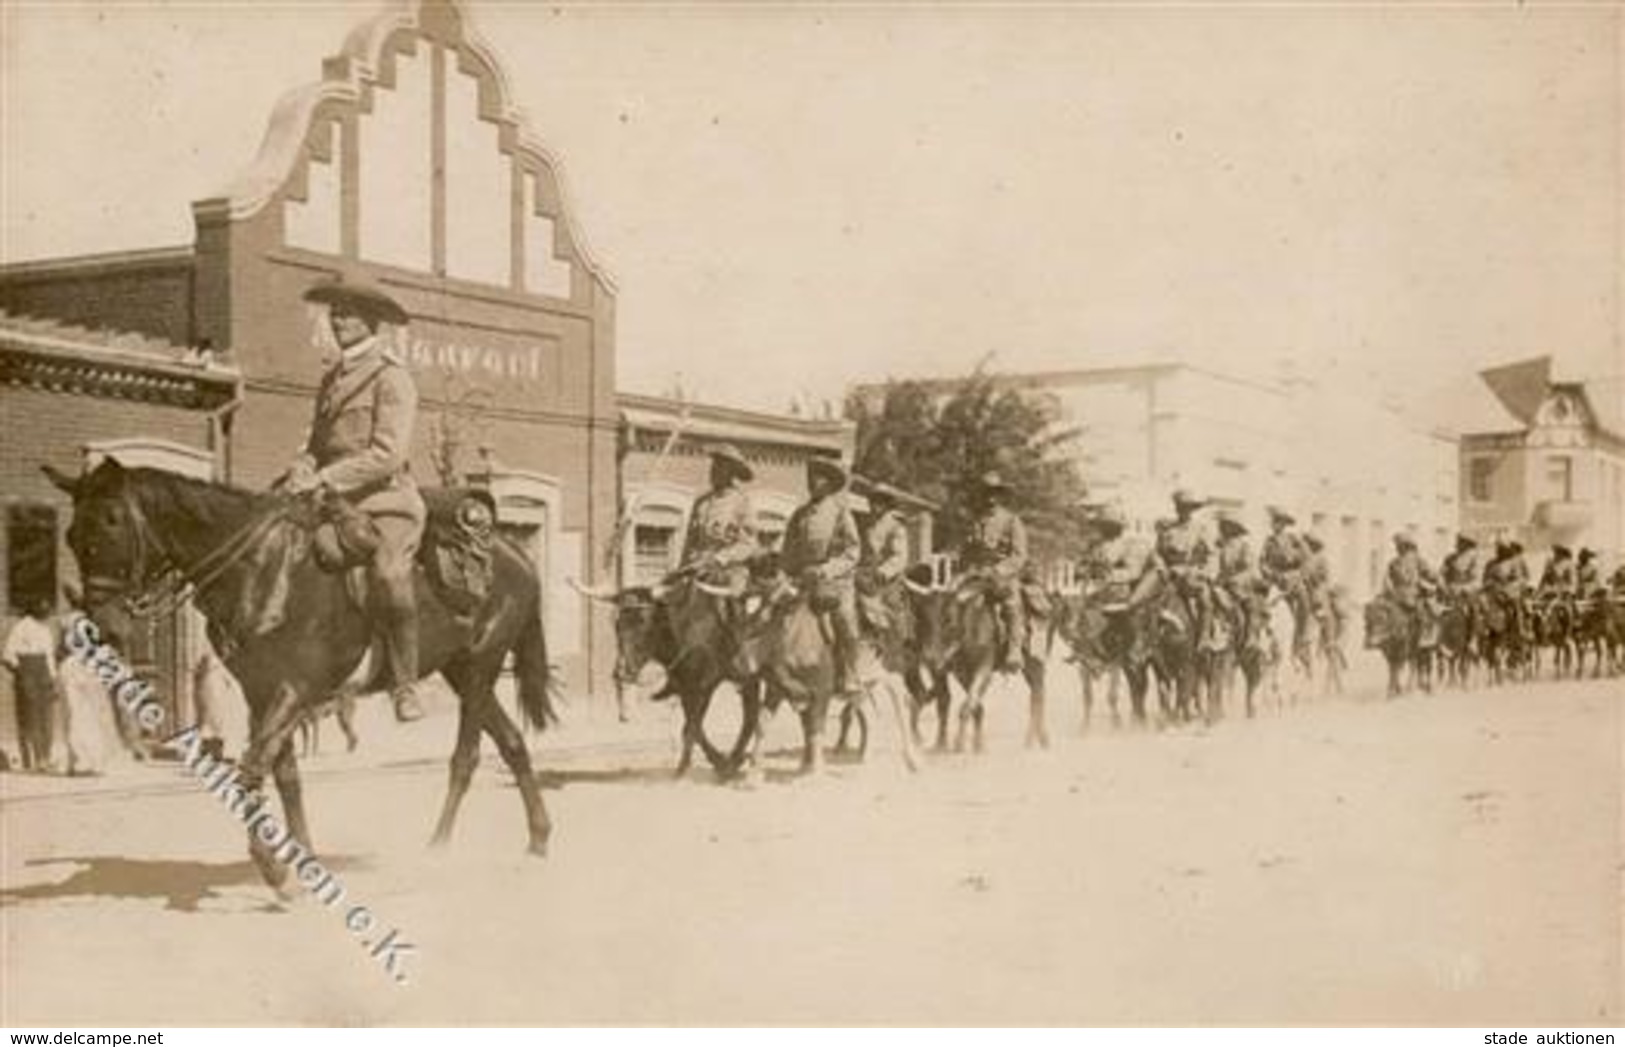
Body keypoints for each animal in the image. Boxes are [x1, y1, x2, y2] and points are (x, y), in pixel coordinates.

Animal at [47, 461, 555, 897]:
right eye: (71, 533)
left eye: (113, 520)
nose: (103, 627)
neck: (263, 569)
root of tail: (514, 552)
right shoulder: (260, 691)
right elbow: (285, 774)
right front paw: (301, 861)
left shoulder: (294, 688)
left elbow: (253, 766)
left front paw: (272, 870)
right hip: (461, 670)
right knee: (512, 743)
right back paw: (538, 839)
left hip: (481, 667)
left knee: (466, 757)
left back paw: (438, 848)